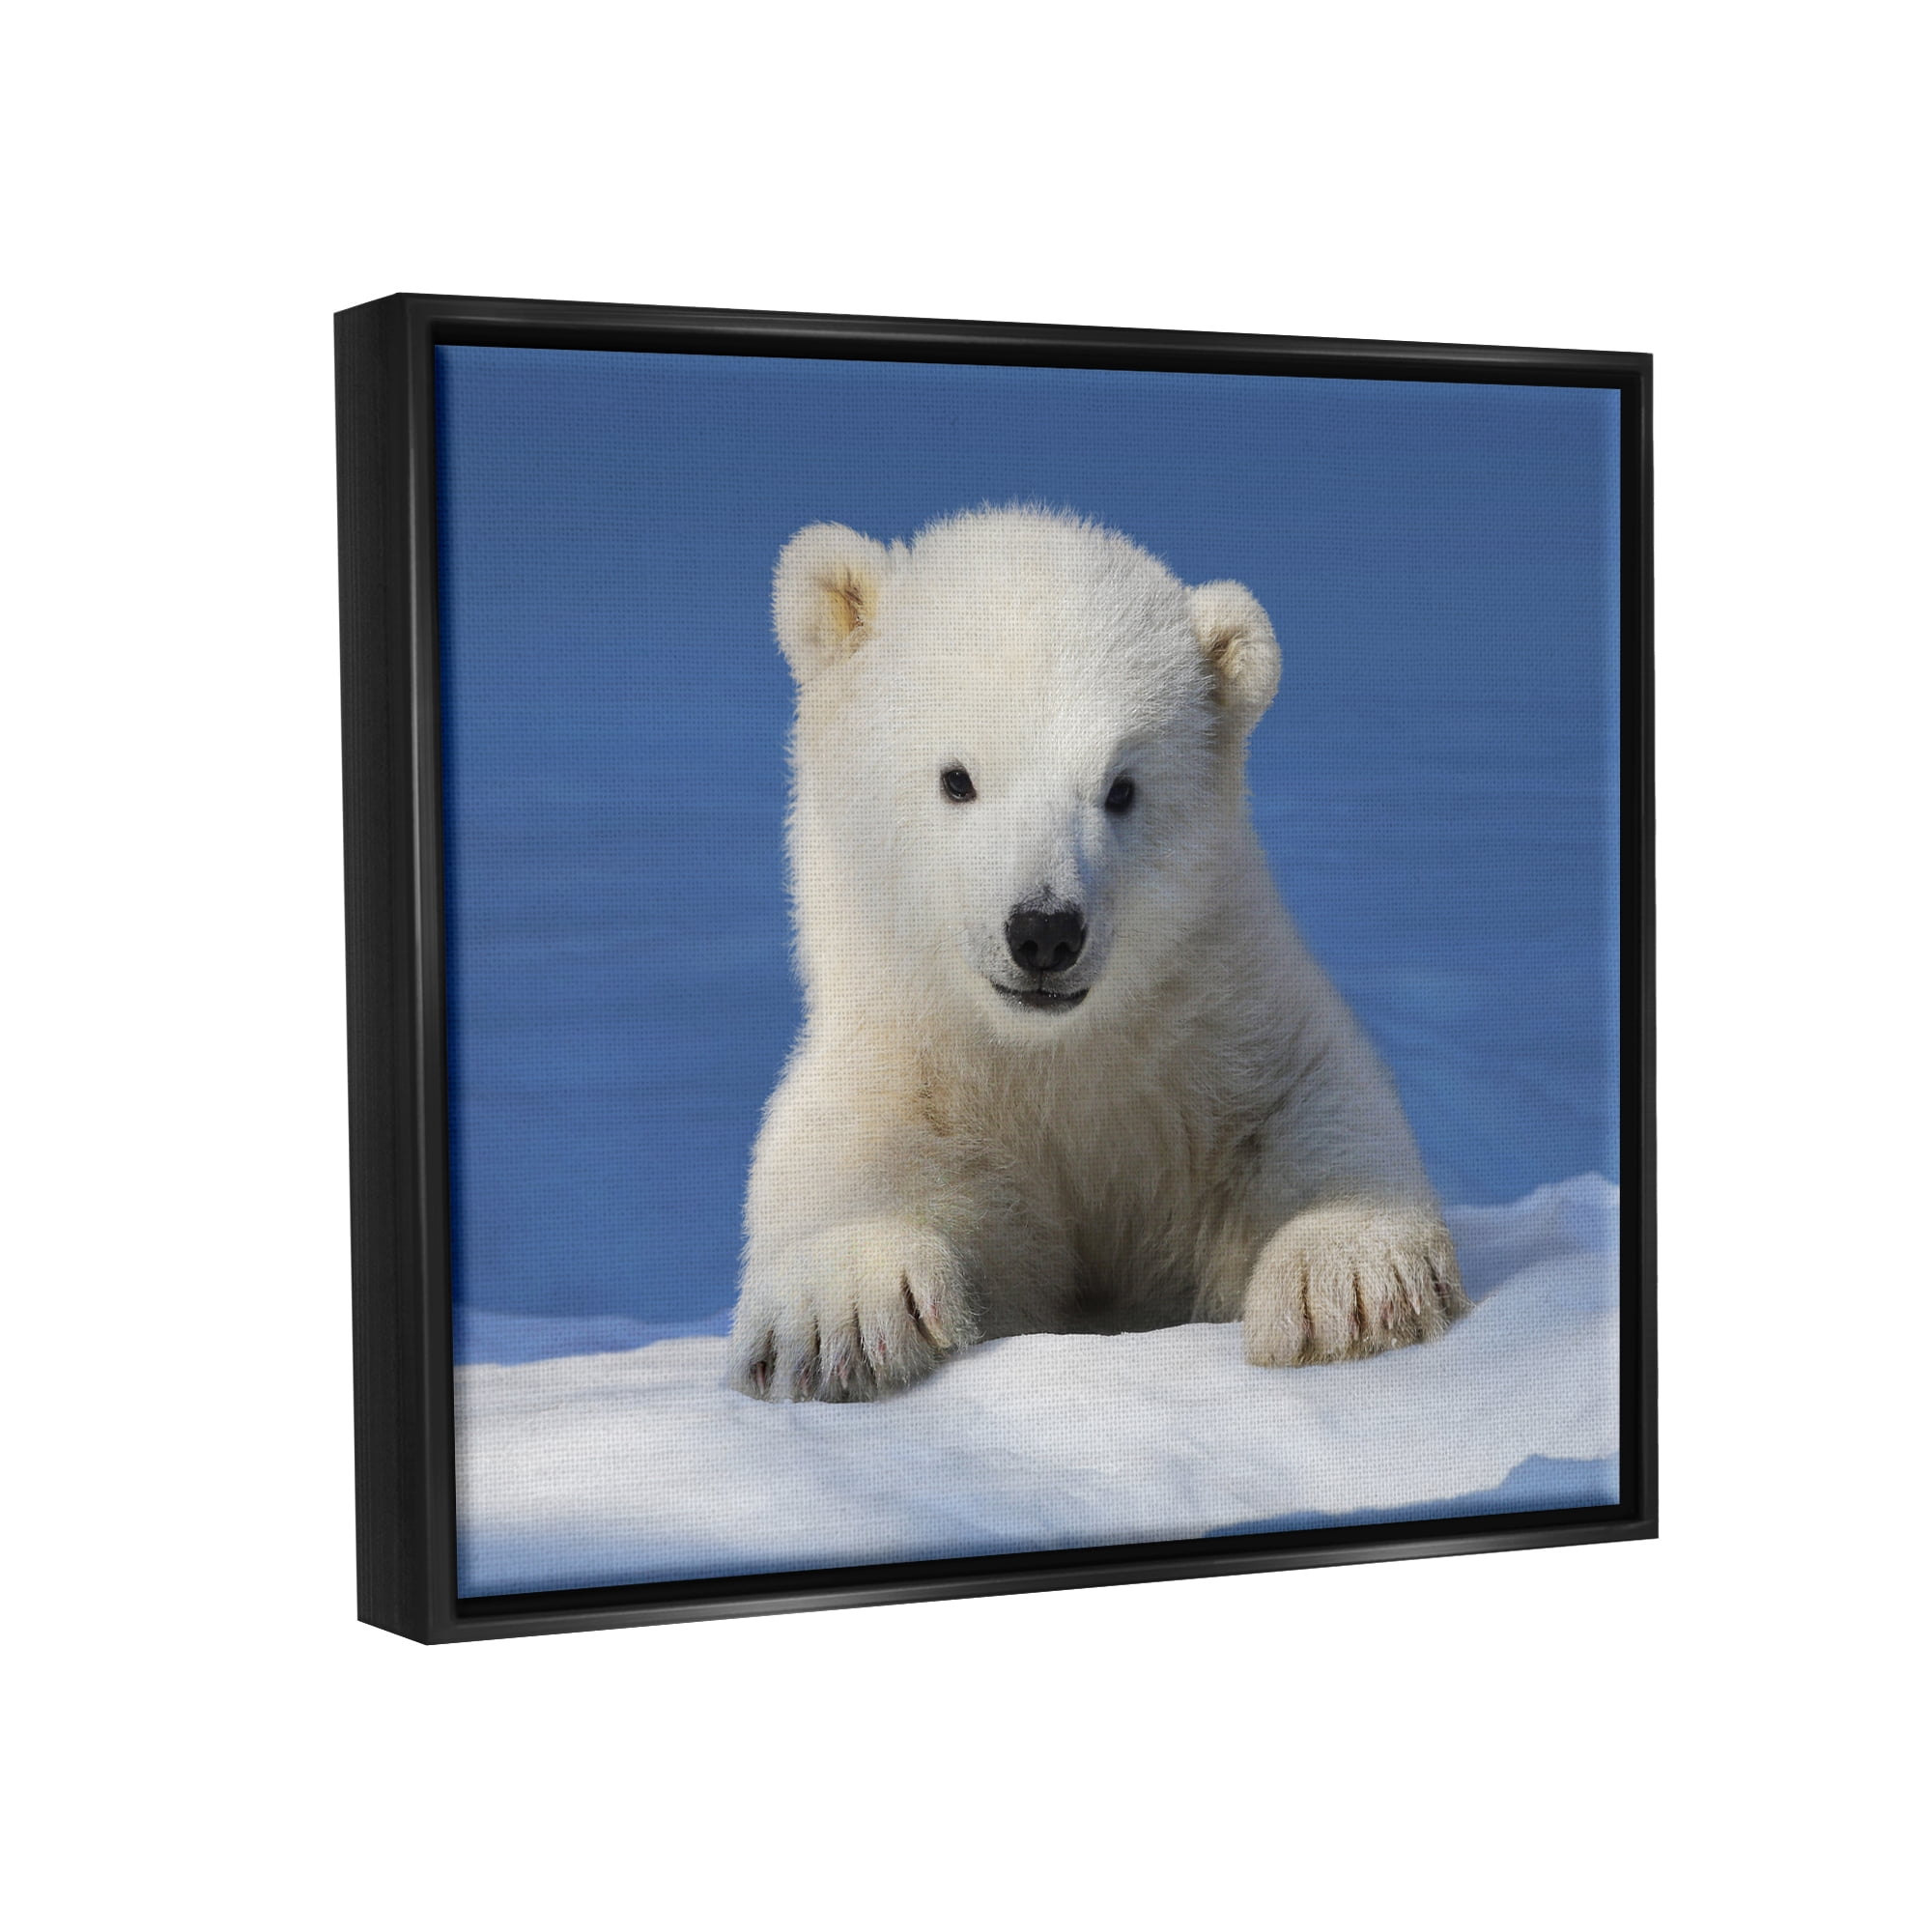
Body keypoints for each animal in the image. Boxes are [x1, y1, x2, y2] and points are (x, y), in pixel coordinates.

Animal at [729, 505, 1468, 1401]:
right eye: (956, 778)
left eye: (1121, 788)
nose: (1045, 931)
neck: (1054, 1058)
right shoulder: (911, 1063)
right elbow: (847, 1156)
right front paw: (843, 1316)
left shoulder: (1217, 1025)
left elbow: (1308, 1098)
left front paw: (1348, 1283)